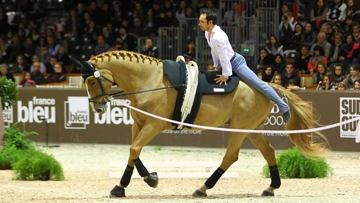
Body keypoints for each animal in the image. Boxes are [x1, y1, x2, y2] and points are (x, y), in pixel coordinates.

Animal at [75, 50, 330, 198]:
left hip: (240, 128)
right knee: (268, 151)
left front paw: (136, 182)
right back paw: (271, 187)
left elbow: (135, 149)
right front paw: (136, 182)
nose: (98, 108)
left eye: (92, 81)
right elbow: (133, 153)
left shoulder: (154, 125)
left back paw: (203, 188)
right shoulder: (138, 125)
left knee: (230, 157)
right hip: (252, 129)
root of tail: (265, 85)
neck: (150, 81)